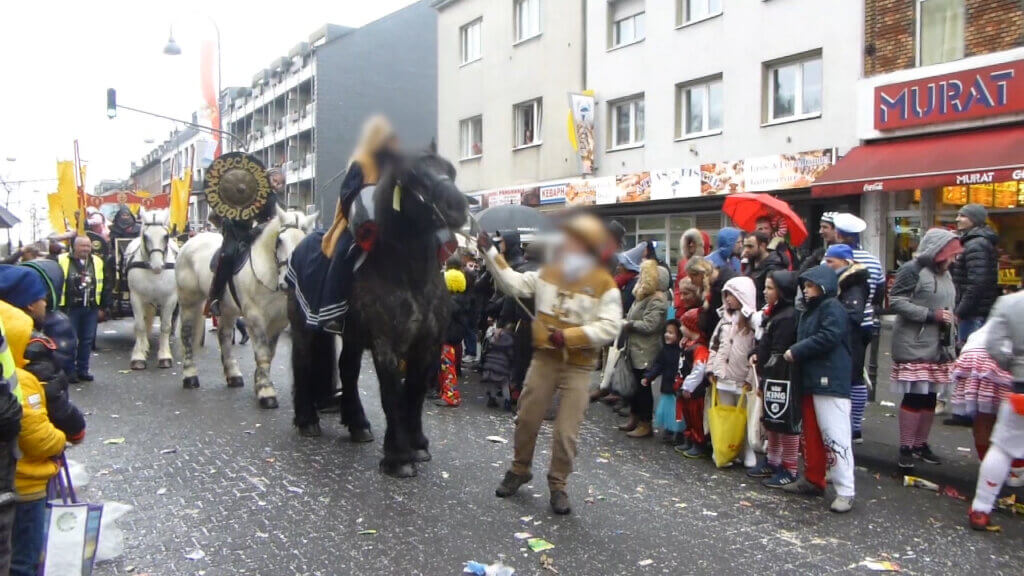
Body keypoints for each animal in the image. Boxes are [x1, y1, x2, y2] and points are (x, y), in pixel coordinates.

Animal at [124, 208, 179, 368]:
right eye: (145, 236)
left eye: (166, 236)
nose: (157, 266)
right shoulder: (136, 298)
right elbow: (140, 326)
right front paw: (138, 356)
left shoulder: (170, 299)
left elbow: (165, 327)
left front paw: (164, 356)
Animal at [175, 206, 315, 407]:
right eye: (280, 241)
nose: (289, 283)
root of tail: (189, 243)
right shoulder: (255, 318)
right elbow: (262, 353)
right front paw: (266, 391)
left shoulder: (278, 321)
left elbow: (269, 353)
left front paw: (259, 383)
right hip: (188, 302)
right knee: (186, 334)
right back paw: (190, 376)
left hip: (226, 309)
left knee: (224, 335)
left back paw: (233, 374)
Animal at [290, 146, 468, 475]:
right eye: (413, 176)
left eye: (450, 171)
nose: (458, 206)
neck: (408, 276)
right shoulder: (387, 345)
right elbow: (391, 394)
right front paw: (398, 458)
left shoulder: (427, 344)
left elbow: (415, 392)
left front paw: (417, 445)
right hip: (302, 327)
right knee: (303, 363)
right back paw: (307, 420)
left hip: (352, 336)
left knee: (347, 369)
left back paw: (358, 424)